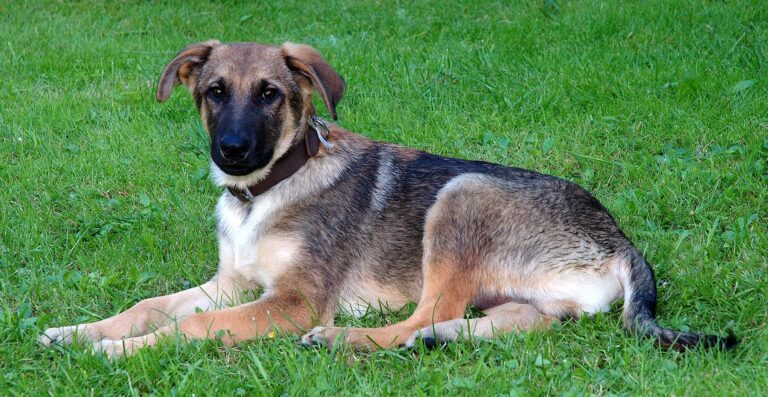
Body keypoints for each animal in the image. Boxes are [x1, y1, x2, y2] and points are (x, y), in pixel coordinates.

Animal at [37, 39, 736, 356]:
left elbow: (192, 326)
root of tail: (622, 241)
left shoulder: (291, 302)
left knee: (424, 312)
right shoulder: (232, 284)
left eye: (270, 94)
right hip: (530, 296)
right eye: (214, 92)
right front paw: (80, 330)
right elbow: (151, 305)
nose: (232, 152)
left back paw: (343, 339)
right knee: (505, 322)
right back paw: (440, 340)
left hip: (462, 195)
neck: (265, 194)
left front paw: (120, 351)